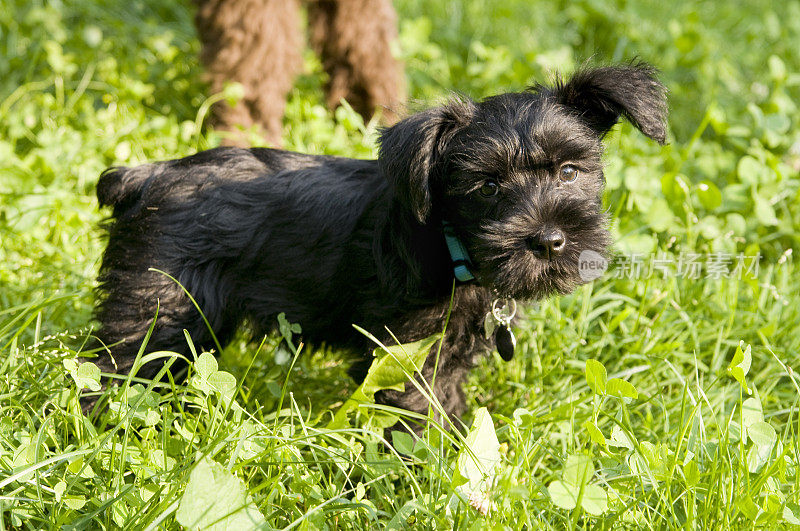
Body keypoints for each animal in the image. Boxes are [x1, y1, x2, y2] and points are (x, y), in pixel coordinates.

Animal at [92, 62, 668, 428]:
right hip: (157, 314)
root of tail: (145, 177)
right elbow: (415, 415)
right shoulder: (406, 354)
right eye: (487, 187)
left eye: (570, 171)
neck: (452, 246)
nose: (548, 239)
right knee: (112, 373)